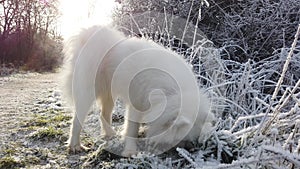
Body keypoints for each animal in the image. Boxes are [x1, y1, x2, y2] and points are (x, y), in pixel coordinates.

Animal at [62, 24, 214, 156]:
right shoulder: (137, 102)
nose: (192, 148)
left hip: (109, 95)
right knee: (77, 120)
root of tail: (89, 36)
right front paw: (130, 152)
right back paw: (75, 146)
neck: (173, 91)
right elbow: (132, 129)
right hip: (87, 93)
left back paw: (110, 134)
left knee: (103, 114)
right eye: (182, 138)